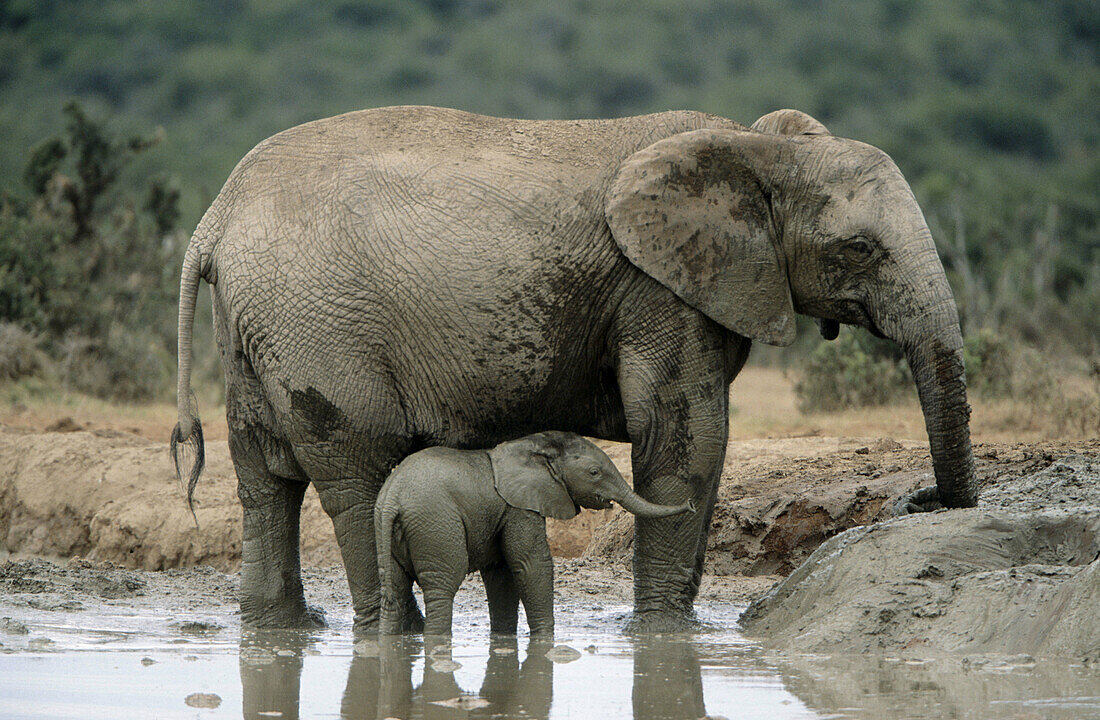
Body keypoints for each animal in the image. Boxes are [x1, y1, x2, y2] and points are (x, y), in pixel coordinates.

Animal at [374, 430, 690, 637]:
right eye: (594, 473)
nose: (691, 504)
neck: (532, 445)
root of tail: (392, 500)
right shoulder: (519, 507)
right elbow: (531, 565)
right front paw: (546, 640)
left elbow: (501, 573)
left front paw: (504, 639)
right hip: (435, 523)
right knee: (443, 586)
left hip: (385, 528)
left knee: (394, 588)